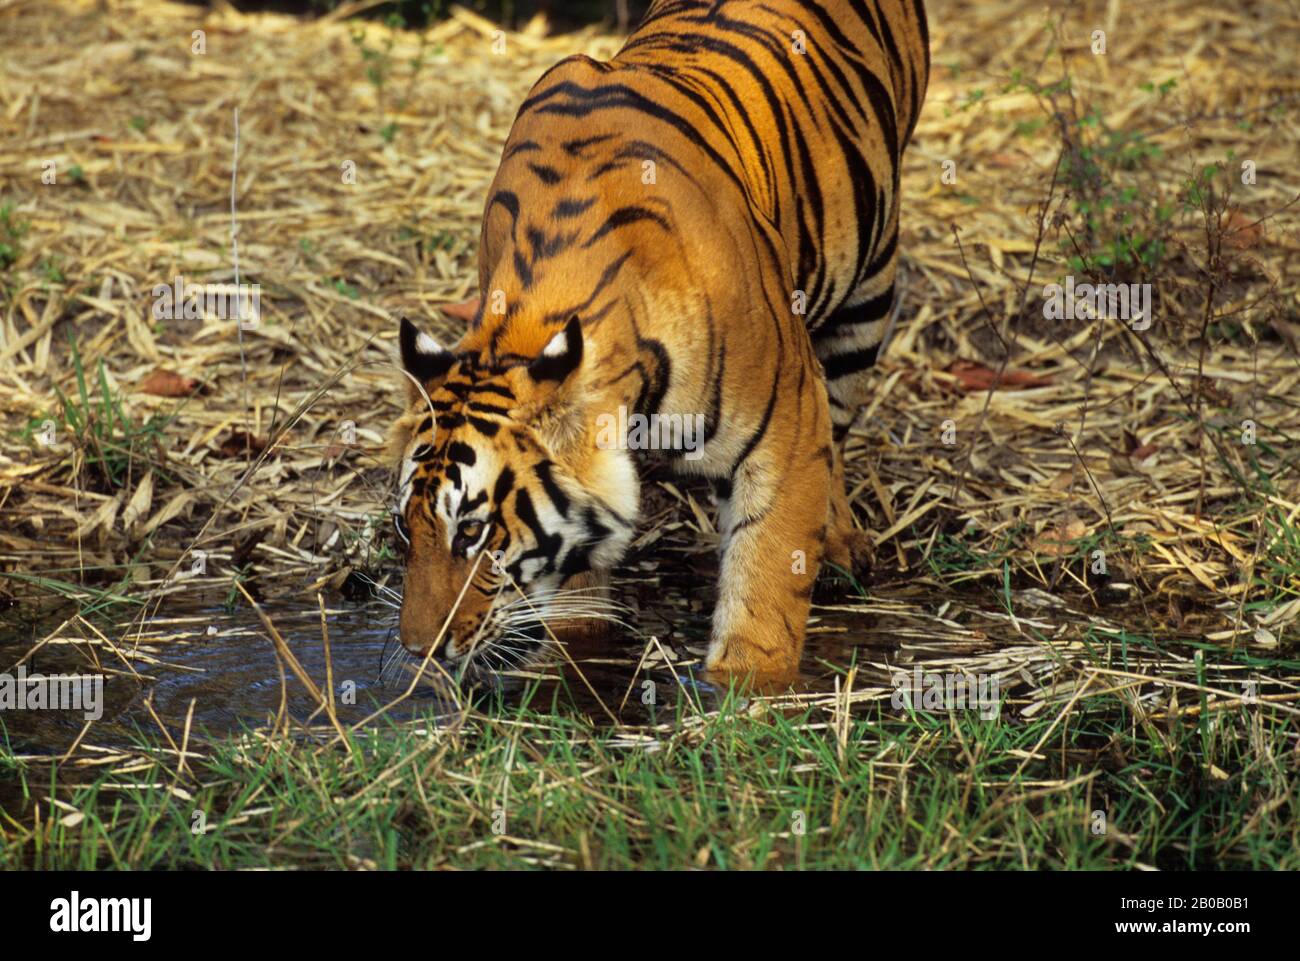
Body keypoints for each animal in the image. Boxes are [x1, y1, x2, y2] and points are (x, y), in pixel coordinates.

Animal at [390, 0, 930, 681]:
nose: (417, 649)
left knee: (837, 427)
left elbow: (767, 574)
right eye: (404, 530)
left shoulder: (785, 426)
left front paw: (746, 687)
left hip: (867, 291)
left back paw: (838, 547)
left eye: (471, 533)